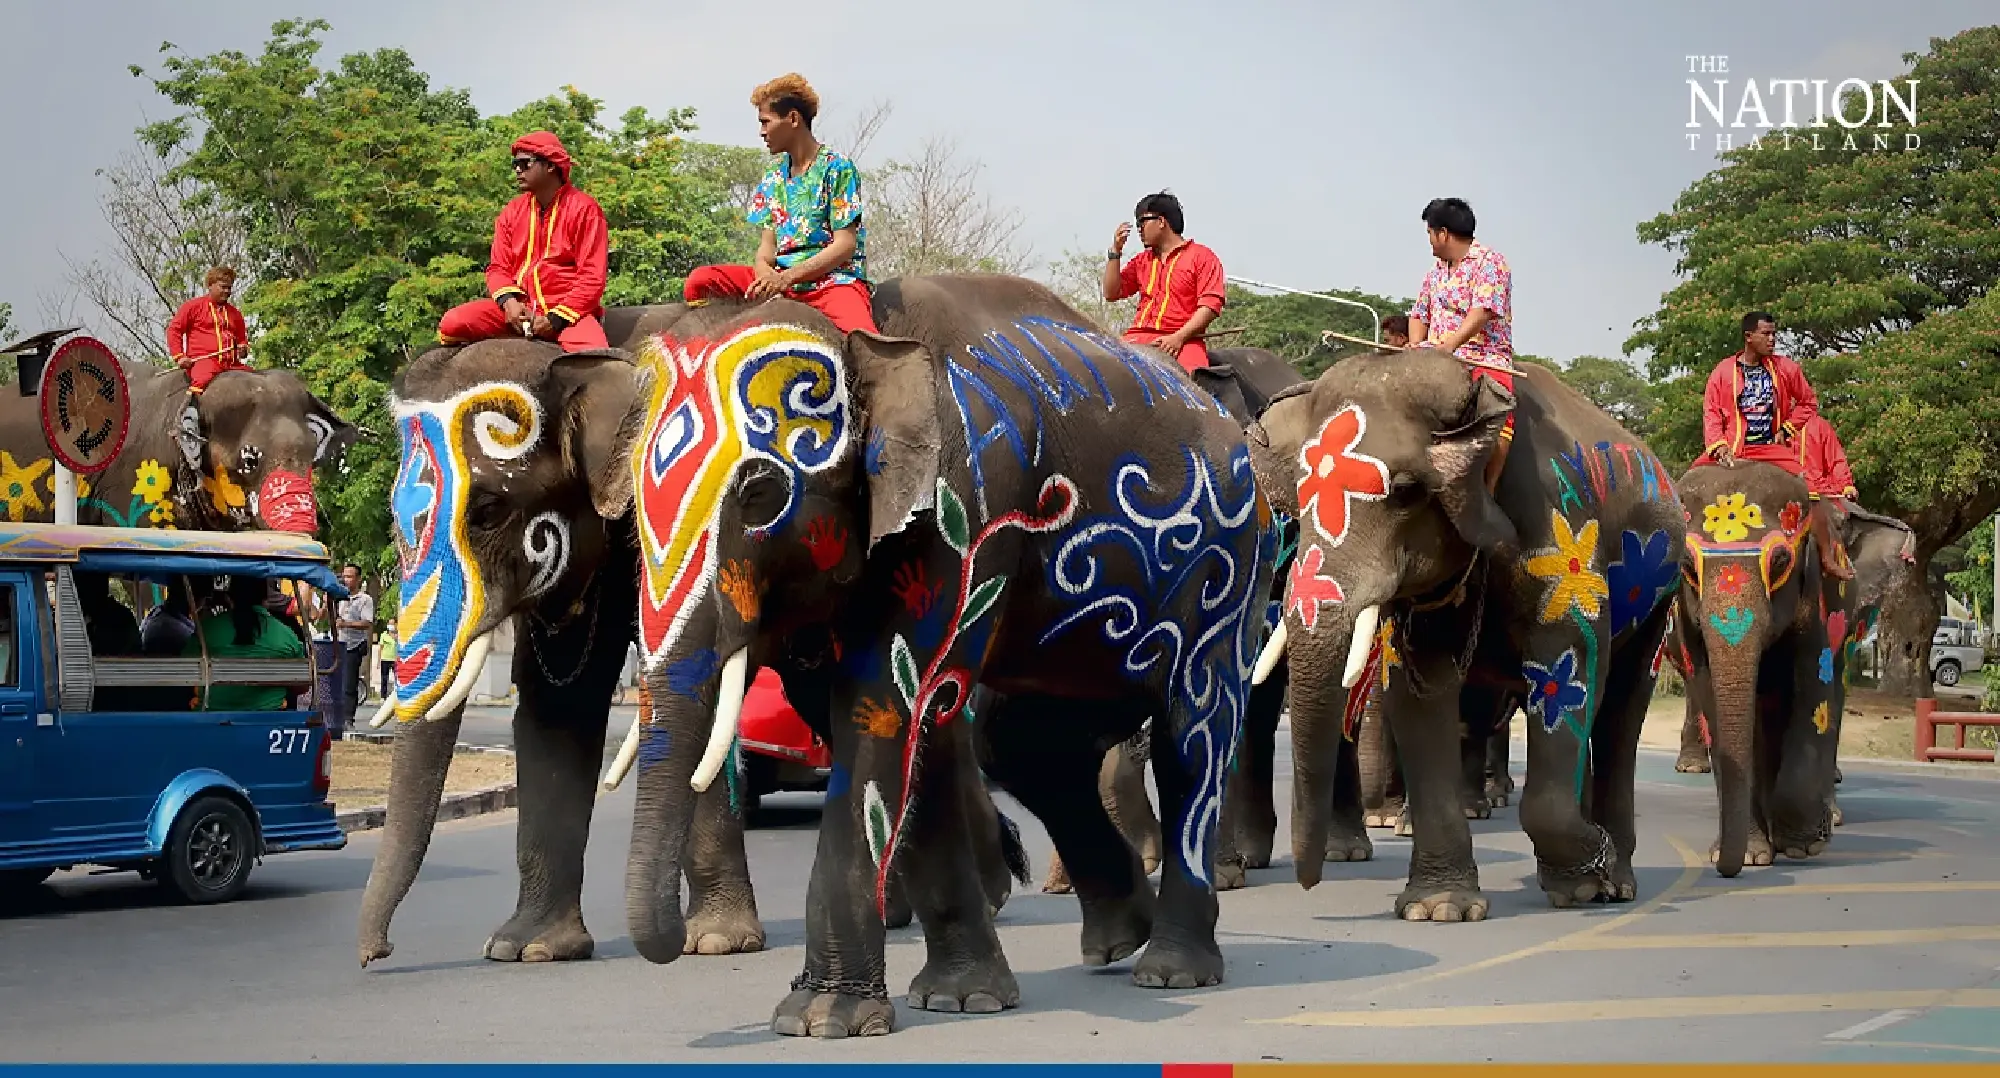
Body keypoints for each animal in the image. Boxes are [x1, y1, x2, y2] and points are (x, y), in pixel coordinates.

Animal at [617, 273, 1273, 1037]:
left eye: (759, 495)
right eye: (629, 507)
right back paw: (1117, 936)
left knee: (1193, 730)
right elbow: (907, 720)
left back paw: (1170, 970)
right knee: (1023, 744)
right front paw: (962, 999)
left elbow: (882, 706)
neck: (867, 337)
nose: (680, 948)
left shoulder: (963, 508)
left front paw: (822, 1019)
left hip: (1226, 573)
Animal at [1247, 349, 1685, 919]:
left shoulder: (1563, 542)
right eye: (1299, 494)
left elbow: (1570, 661)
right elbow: (1418, 693)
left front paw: (1594, 874)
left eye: (1407, 491)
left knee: (1621, 708)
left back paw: (1619, 880)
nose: (1311, 884)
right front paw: (1438, 908)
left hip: (1662, 593)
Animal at [1670, 463, 1915, 875]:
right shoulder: (1686, 617)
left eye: (1782, 563)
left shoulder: (1821, 600)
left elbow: (1816, 694)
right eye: (1688, 566)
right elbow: (1711, 700)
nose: (1724, 869)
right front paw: (1751, 856)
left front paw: (1805, 845)